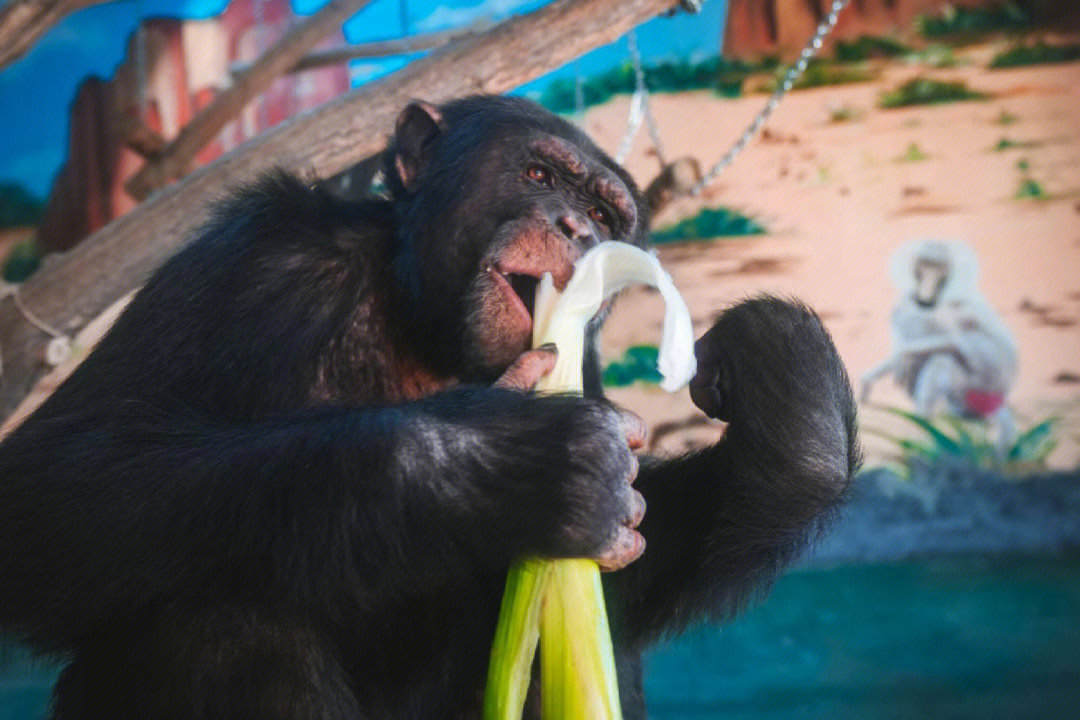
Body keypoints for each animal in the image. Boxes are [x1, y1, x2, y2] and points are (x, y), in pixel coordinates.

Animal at [0, 97, 859, 720]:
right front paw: (502, 465)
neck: (426, 327)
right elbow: (58, 475)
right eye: (539, 175)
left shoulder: (580, 362)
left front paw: (792, 408)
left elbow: (615, 569)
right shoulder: (252, 256)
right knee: (216, 622)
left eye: (609, 217)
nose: (578, 230)